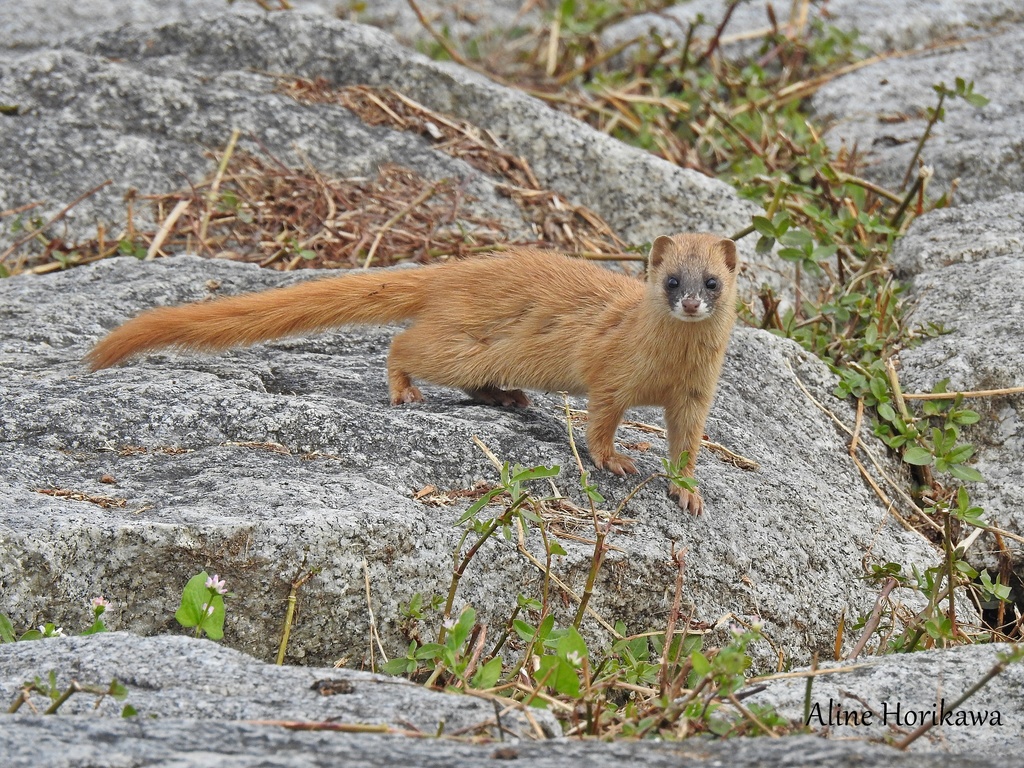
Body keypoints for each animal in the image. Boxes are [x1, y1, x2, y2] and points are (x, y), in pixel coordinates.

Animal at [88, 231, 737, 514]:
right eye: (670, 279)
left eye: (712, 281)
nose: (690, 303)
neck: (668, 365)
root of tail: (456, 270)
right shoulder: (609, 369)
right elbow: (601, 418)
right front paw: (615, 459)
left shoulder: (696, 394)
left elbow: (688, 443)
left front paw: (688, 492)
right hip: (457, 343)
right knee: (404, 343)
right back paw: (407, 391)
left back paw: (509, 398)